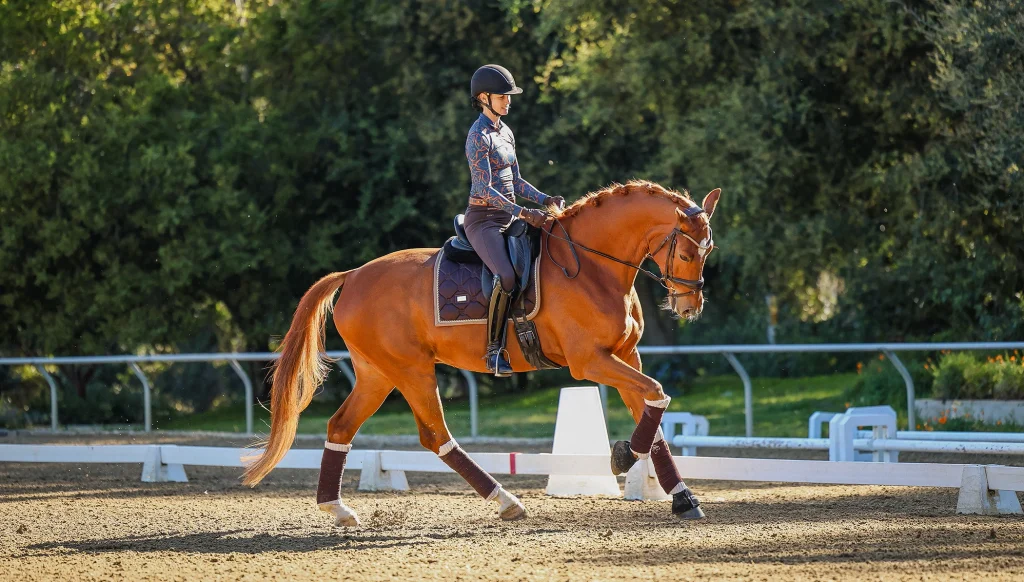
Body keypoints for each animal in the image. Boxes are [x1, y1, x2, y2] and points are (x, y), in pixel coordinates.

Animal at [242, 180, 720, 526]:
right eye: (684, 250)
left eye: (708, 249)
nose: (690, 306)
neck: (591, 266)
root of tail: (354, 274)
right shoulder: (592, 361)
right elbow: (657, 394)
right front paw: (622, 456)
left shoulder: (626, 355)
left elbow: (654, 415)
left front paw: (683, 499)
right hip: (410, 370)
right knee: (435, 435)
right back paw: (506, 500)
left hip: (378, 374)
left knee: (341, 426)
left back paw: (337, 508)